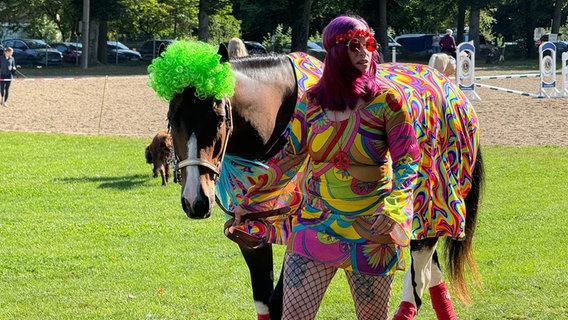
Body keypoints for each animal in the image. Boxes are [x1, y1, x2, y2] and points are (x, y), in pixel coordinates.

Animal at [150, 40, 484, 320]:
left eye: (218, 118)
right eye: (172, 118)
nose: (195, 199)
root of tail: (452, 90)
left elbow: (279, 303)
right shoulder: (252, 234)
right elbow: (264, 304)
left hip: (431, 211)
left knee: (417, 284)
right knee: (431, 277)